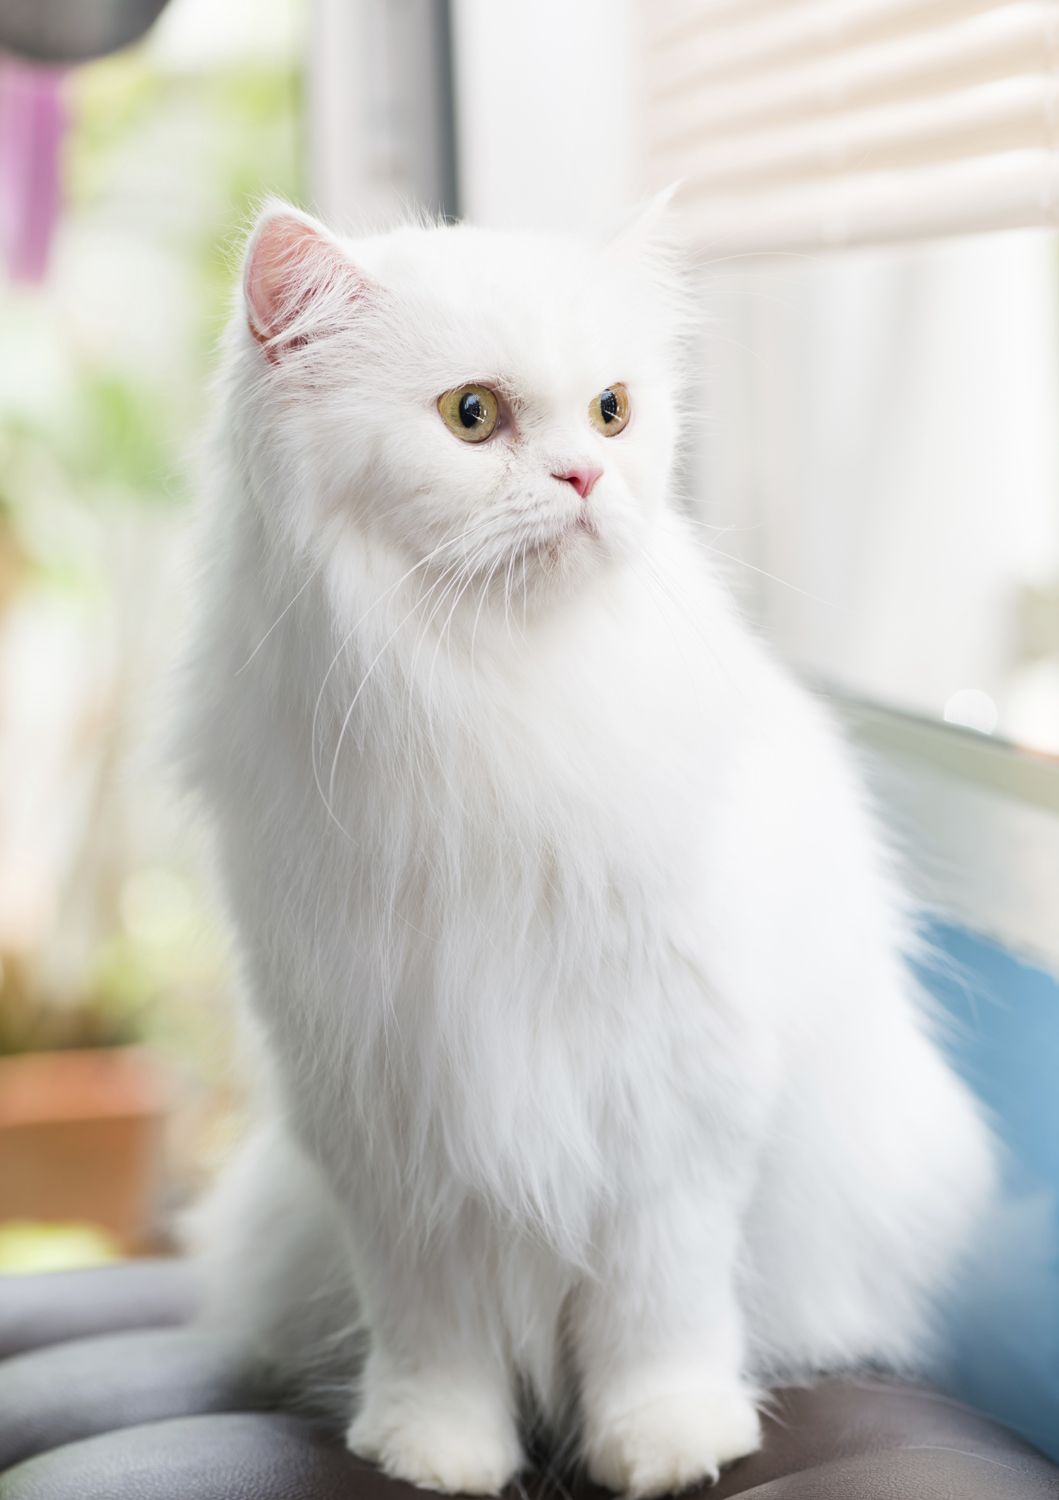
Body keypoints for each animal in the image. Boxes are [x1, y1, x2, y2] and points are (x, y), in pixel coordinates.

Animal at [179, 202, 990, 1500]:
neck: (493, 701)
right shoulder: (390, 1118)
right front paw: (434, 1453)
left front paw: (669, 1444)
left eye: (613, 410)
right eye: (471, 415)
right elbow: (433, 1330)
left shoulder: (672, 1102)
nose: (587, 477)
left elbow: (658, 1314)